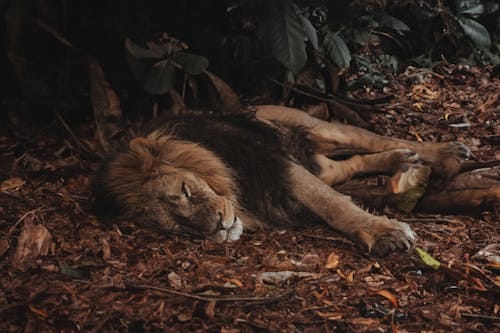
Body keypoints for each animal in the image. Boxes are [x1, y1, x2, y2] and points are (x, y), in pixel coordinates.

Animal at [92, 105, 470, 255]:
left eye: (185, 190)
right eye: (179, 227)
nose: (217, 227)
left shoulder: (276, 162)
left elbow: (331, 204)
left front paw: (385, 233)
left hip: (320, 128)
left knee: (378, 139)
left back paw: (448, 153)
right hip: (324, 165)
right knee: (355, 162)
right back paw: (401, 160)